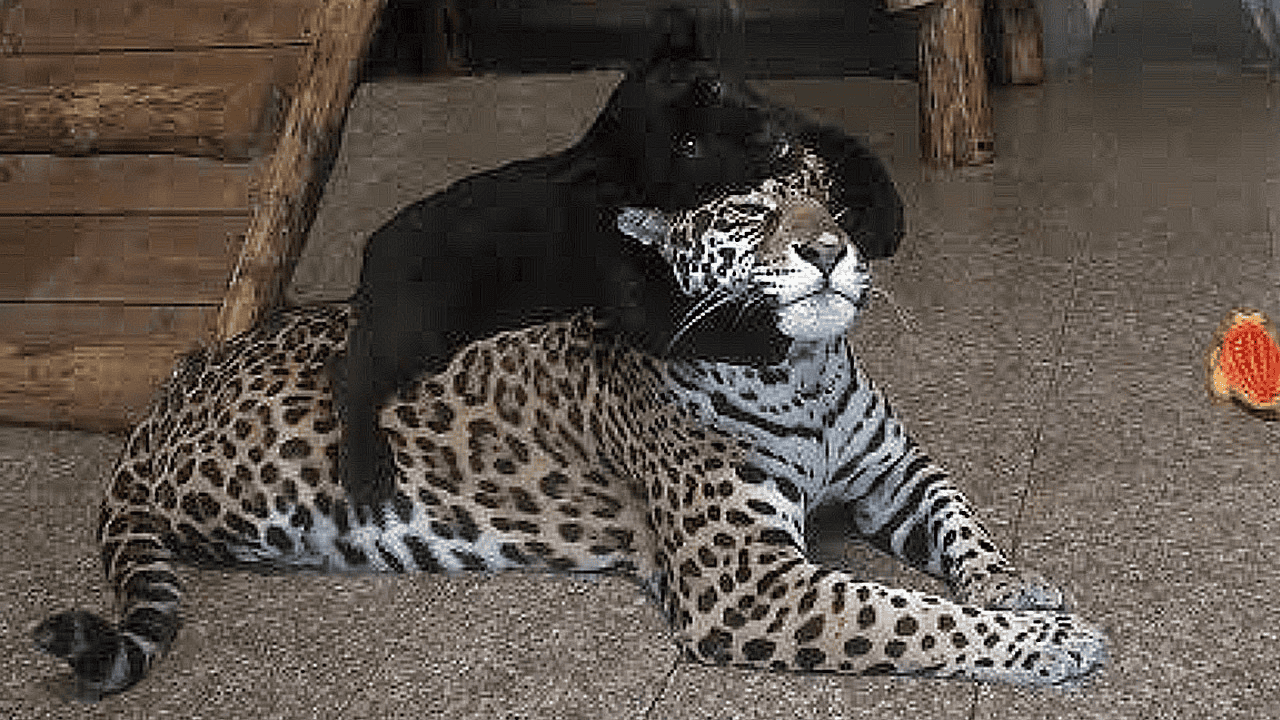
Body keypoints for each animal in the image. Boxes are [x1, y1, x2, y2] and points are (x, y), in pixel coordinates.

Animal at [33, 146, 1107, 701]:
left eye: (832, 205)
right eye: (750, 213)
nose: (829, 249)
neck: (799, 373)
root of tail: (169, 388)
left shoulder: (893, 470)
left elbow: (959, 520)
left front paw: (1016, 583)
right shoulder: (749, 587)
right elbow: (910, 615)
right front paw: (1048, 644)